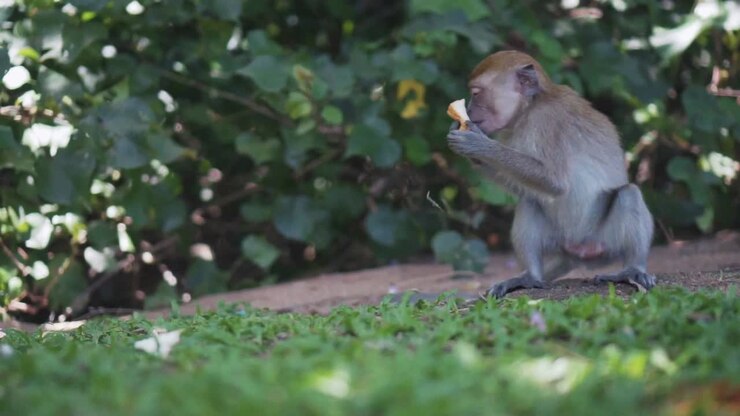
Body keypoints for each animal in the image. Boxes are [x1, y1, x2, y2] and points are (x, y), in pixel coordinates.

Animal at [446, 50, 655, 298]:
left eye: (476, 93)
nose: (469, 107)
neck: (529, 108)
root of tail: (577, 252)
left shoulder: (548, 121)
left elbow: (554, 182)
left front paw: (478, 145)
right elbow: (527, 187)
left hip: (604, 241)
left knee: (629, 194)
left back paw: (633, 269)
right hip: (559, 240)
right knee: (529, 201)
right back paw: (530, 276)